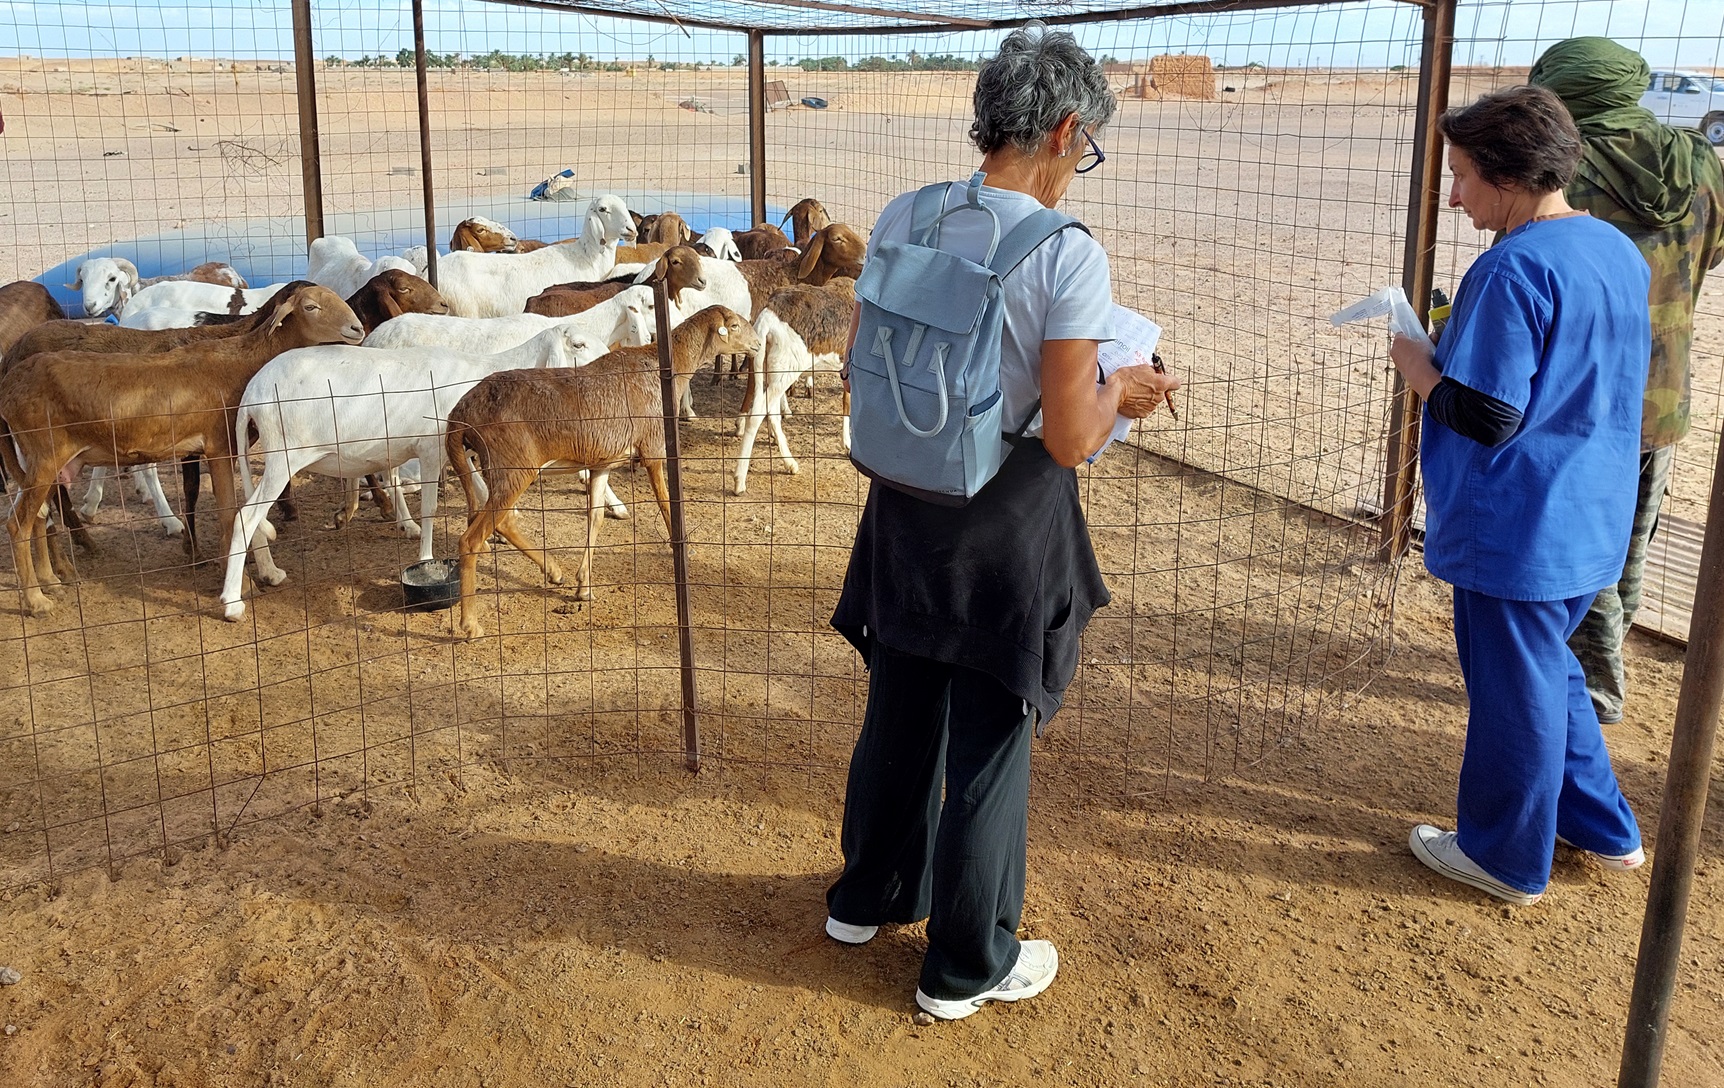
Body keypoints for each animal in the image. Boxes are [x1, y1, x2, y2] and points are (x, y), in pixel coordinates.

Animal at [0, 285, 363, 617]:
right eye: (311, 306)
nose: (357, 329)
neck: (243, 361)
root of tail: (9, 384)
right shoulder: (219, 447)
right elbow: (229, 514)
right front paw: (239, 586)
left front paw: (263, 572)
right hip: (45, 457)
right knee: (19, 523)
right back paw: (37, 600)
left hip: (36, 461)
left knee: (38, 516)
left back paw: (51, 581)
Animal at [220, 323, 606, 621]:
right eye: (578, 344)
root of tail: (252, 392)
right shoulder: (432, 448)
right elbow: (432, 509)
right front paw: (426, 562)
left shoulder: (459, 453)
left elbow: (486, 500)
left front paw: (542, 566)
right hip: (284, 456)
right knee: (246, 516)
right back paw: (232, 603)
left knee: (253, 517)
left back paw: (270, 572)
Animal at [443, 305, 760, 639]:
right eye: (734, 325)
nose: (756, 345)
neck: (663, 371)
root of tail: (460, 413)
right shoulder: (653, 449)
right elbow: (665, 504)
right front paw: (684, 550)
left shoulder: (601, 465)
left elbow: (594, 518)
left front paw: (584, 586)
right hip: (513, 467)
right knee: (471, 540)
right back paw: (470, 624)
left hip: (503, 470)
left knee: (502, 523)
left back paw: (554, 571)